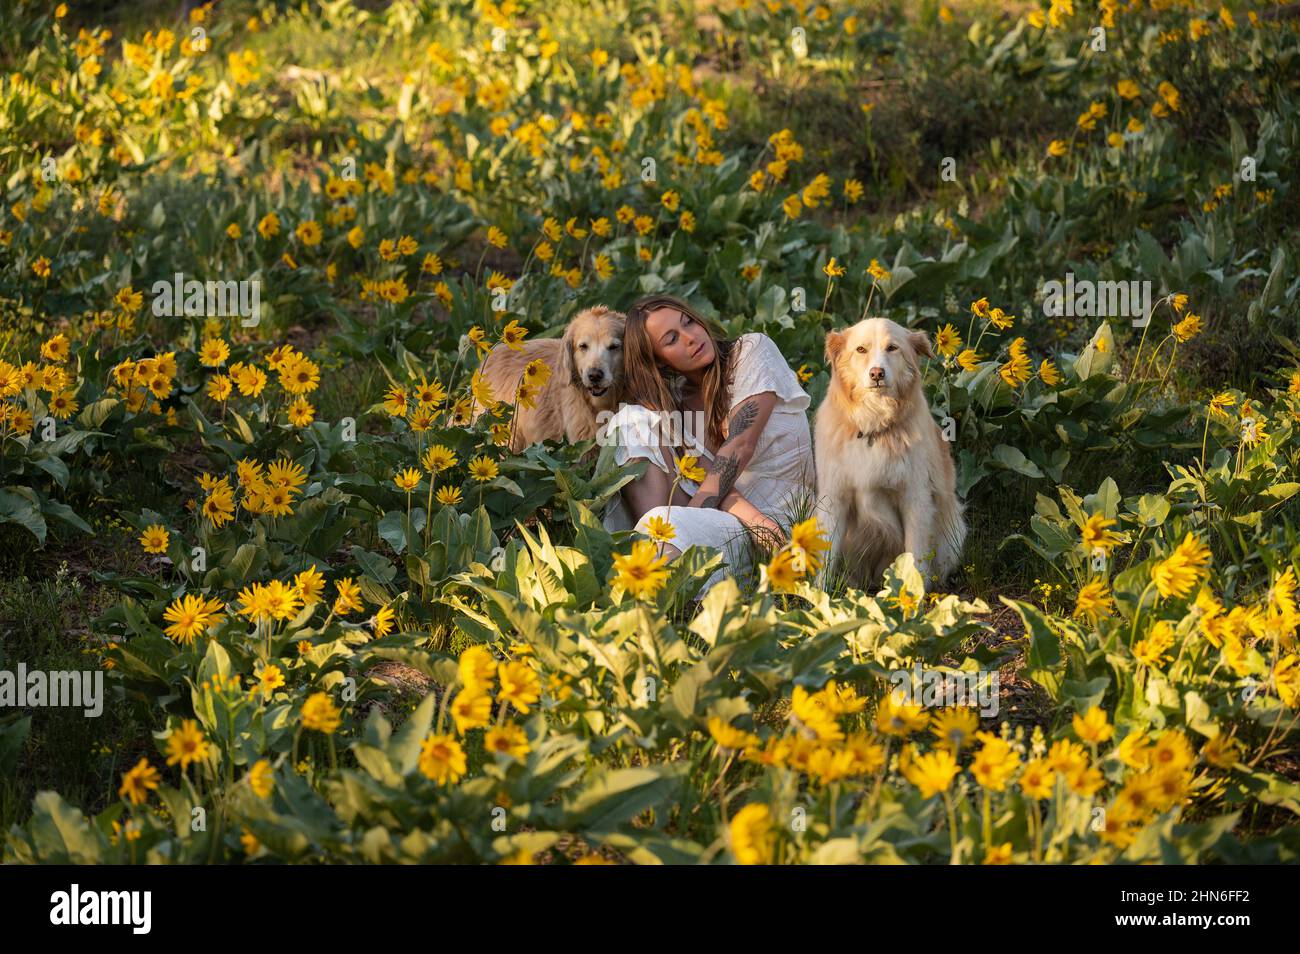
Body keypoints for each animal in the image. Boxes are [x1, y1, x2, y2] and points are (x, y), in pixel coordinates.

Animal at [811, 321, 967, 587]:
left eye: (892, 348)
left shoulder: (915, 498)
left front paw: (912, 594)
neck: (873, 426)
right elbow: (826, 556)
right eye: (861, 349)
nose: (877, 374)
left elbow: (915, 556)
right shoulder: (834, 497)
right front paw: (817, 593)